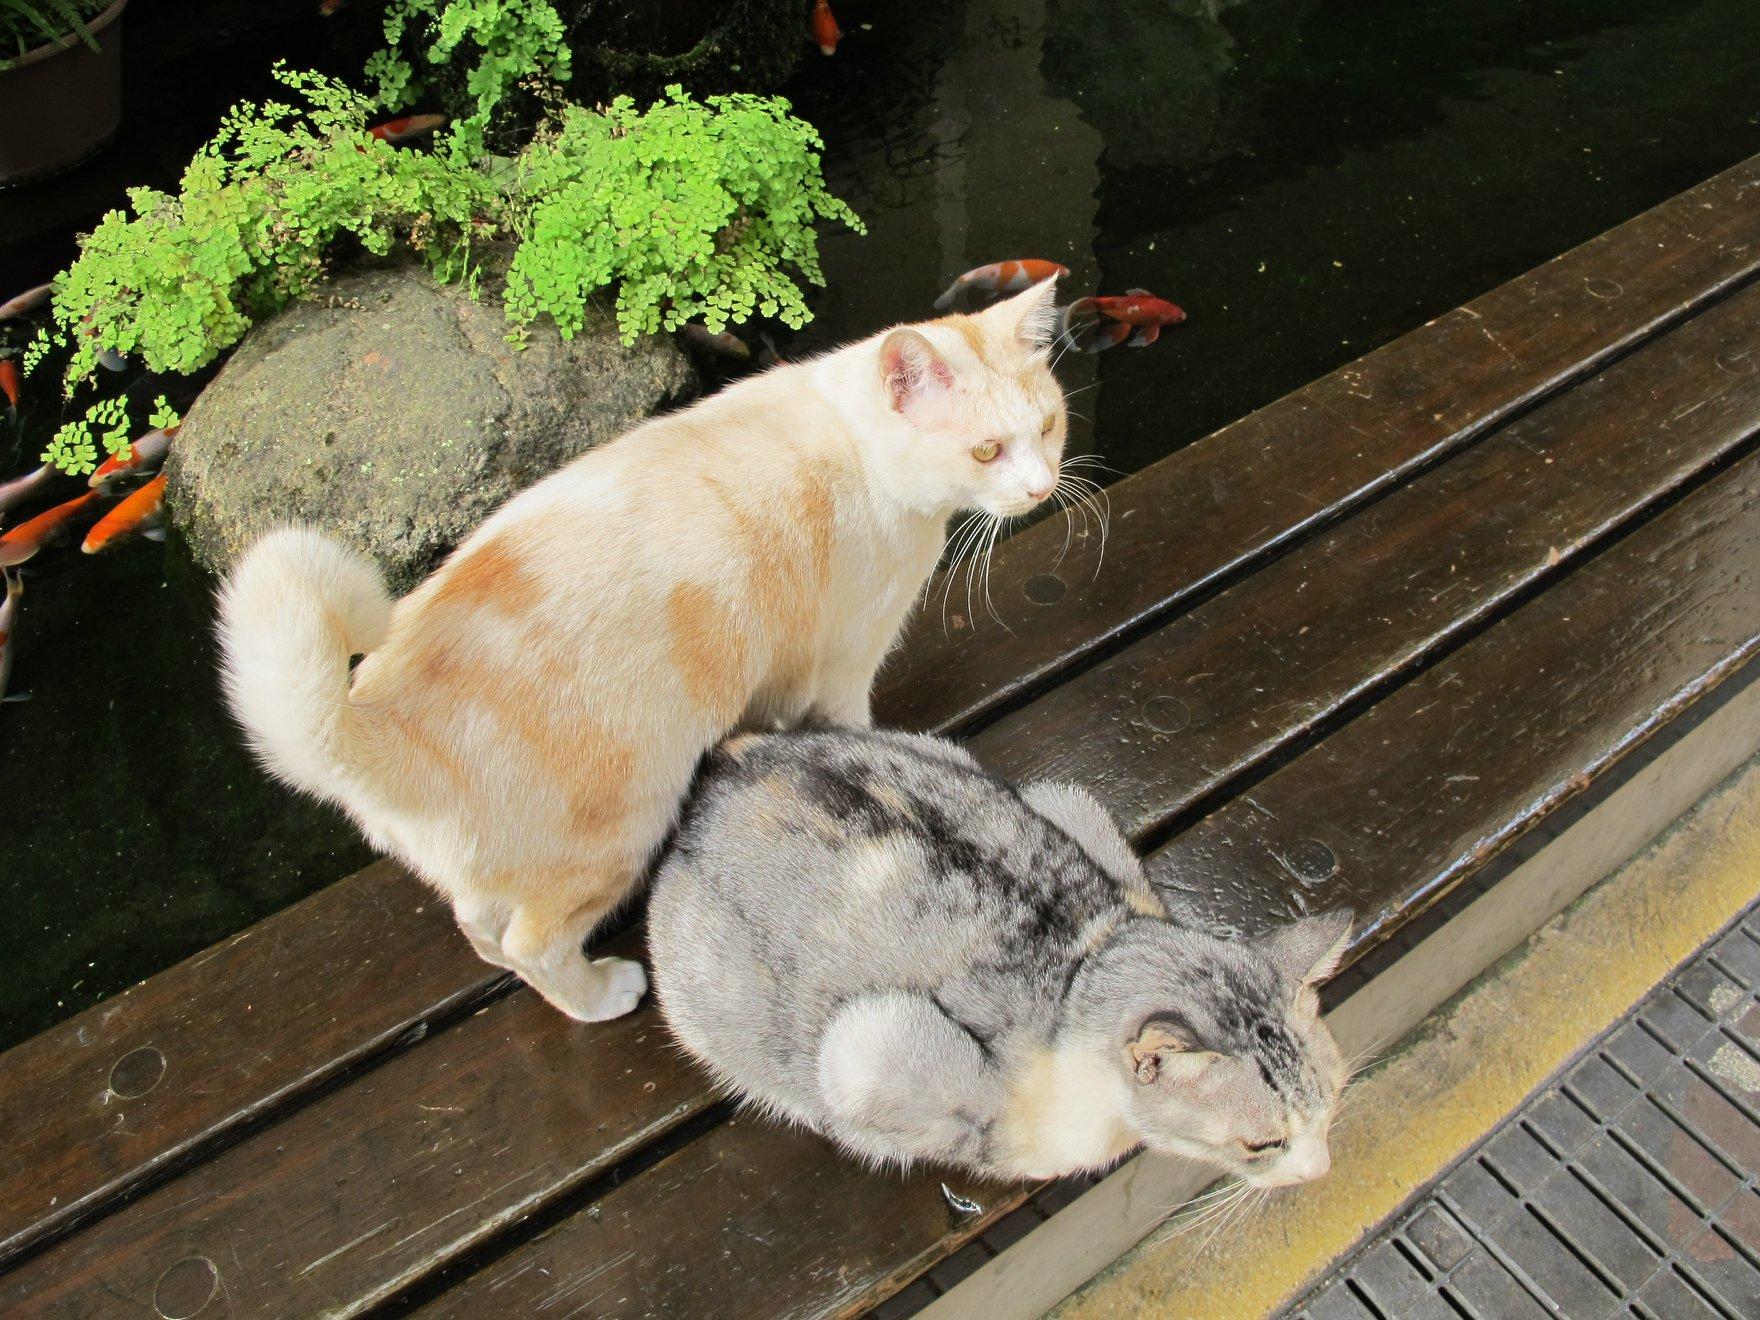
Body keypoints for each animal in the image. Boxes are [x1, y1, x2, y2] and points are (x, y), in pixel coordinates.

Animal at [220, 279, 1070, 1020]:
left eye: (1049, 428)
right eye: (987, 451)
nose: (1040, 488)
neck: (857, 443)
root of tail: (378, 715)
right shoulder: (842, 666)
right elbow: (853, 731)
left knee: (479, 924)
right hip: (619, 833)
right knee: (532, 944)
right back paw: (602, 996)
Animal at [654, 725, 1351, 1189]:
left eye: (1335, 1102)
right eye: (1264, 1142)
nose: (1321, 1169)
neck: (1081, 968)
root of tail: (724, 768)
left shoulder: (1074, 807)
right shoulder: (870, 1046)